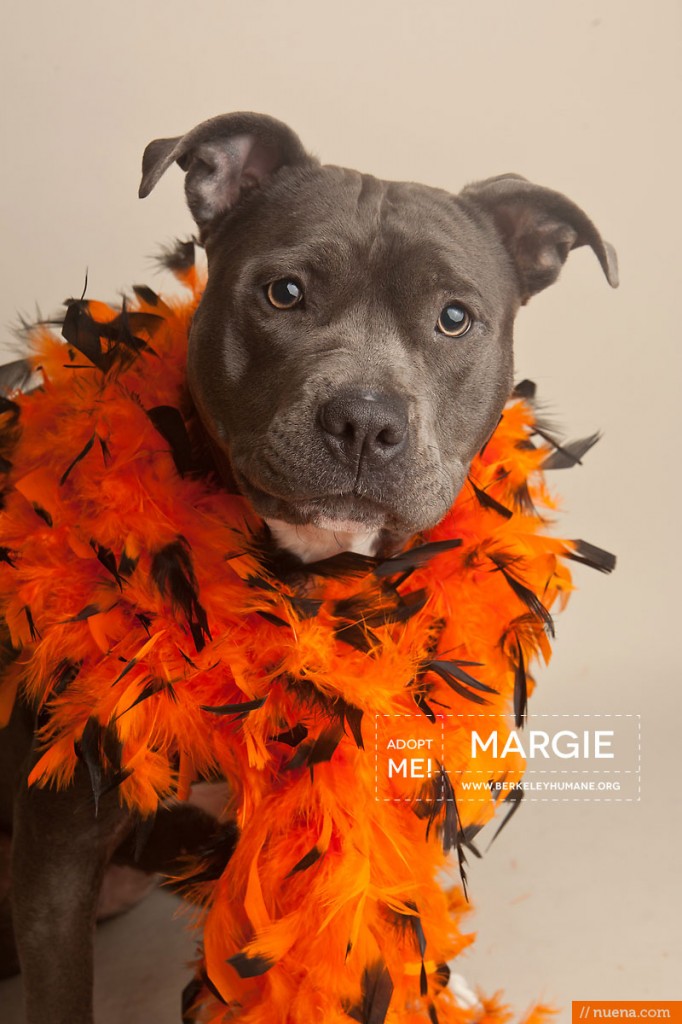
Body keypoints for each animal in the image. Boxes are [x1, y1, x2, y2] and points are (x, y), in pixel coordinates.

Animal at [0, 112, 614, 1024]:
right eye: (283, 293)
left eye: (455, 317)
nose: (365, 419)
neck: (309, 579)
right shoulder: (58, 838)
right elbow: (61, 990)